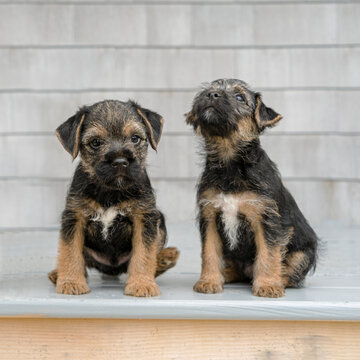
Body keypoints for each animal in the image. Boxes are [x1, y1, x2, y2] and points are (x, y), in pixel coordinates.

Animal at [48, 100, 180, 296]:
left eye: (135, 138)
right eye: (95, 142)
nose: (120, 161)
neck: (110, 191)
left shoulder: (144, 218)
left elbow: (144, 254)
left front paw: (141, 284)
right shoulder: (74, 217)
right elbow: (70, 251)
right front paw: (71, 282)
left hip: (160, 221)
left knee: (152, 258)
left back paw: (165, 257)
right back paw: (58, 274)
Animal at [186, 79, 318, 298]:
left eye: (240, 97)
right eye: (209, 89)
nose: (211, 94)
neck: (230, 163)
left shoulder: (266, 219)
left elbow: (268, 254)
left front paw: (268, 285)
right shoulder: (210, 216)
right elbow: (210, 252)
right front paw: (208, 281)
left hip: (303, 253)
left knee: (292, 275)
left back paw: (276, 281)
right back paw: (226, 274)